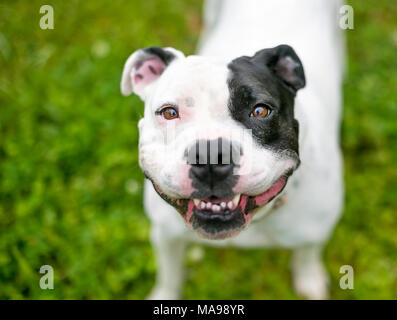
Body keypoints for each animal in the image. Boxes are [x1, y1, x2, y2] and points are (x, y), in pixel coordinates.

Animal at [120, 0, 344, 300]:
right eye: (168, 112)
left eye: (260, 110)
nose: (210, 157)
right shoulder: (165, 235)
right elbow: (170, 275)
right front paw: (165, 295)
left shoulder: (316, 231)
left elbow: (307, 254)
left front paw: (309, 279)